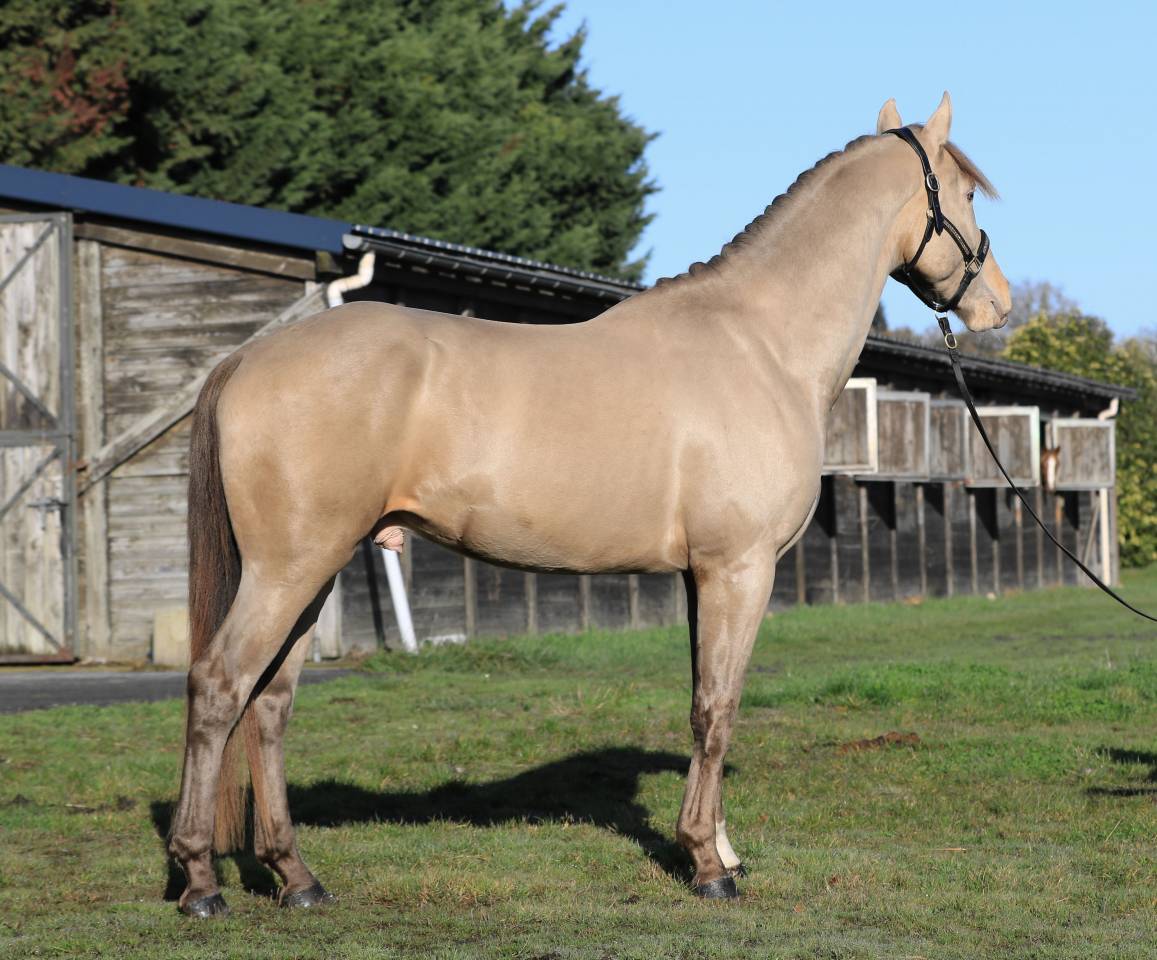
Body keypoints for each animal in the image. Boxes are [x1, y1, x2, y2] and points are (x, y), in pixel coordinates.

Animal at [168, 93, 1011, 916]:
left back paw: (296, 878)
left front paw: (719, 848)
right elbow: (718, 710)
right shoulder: (738, 570)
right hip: (289, 569)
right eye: (967, 194)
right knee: (218, 687)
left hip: (311, 571)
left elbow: (702, 702)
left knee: (269, 703)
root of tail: (246, 359)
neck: (758, 345)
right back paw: (202, 882)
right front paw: (708, 866)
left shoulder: (701, 576)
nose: (997, 306)